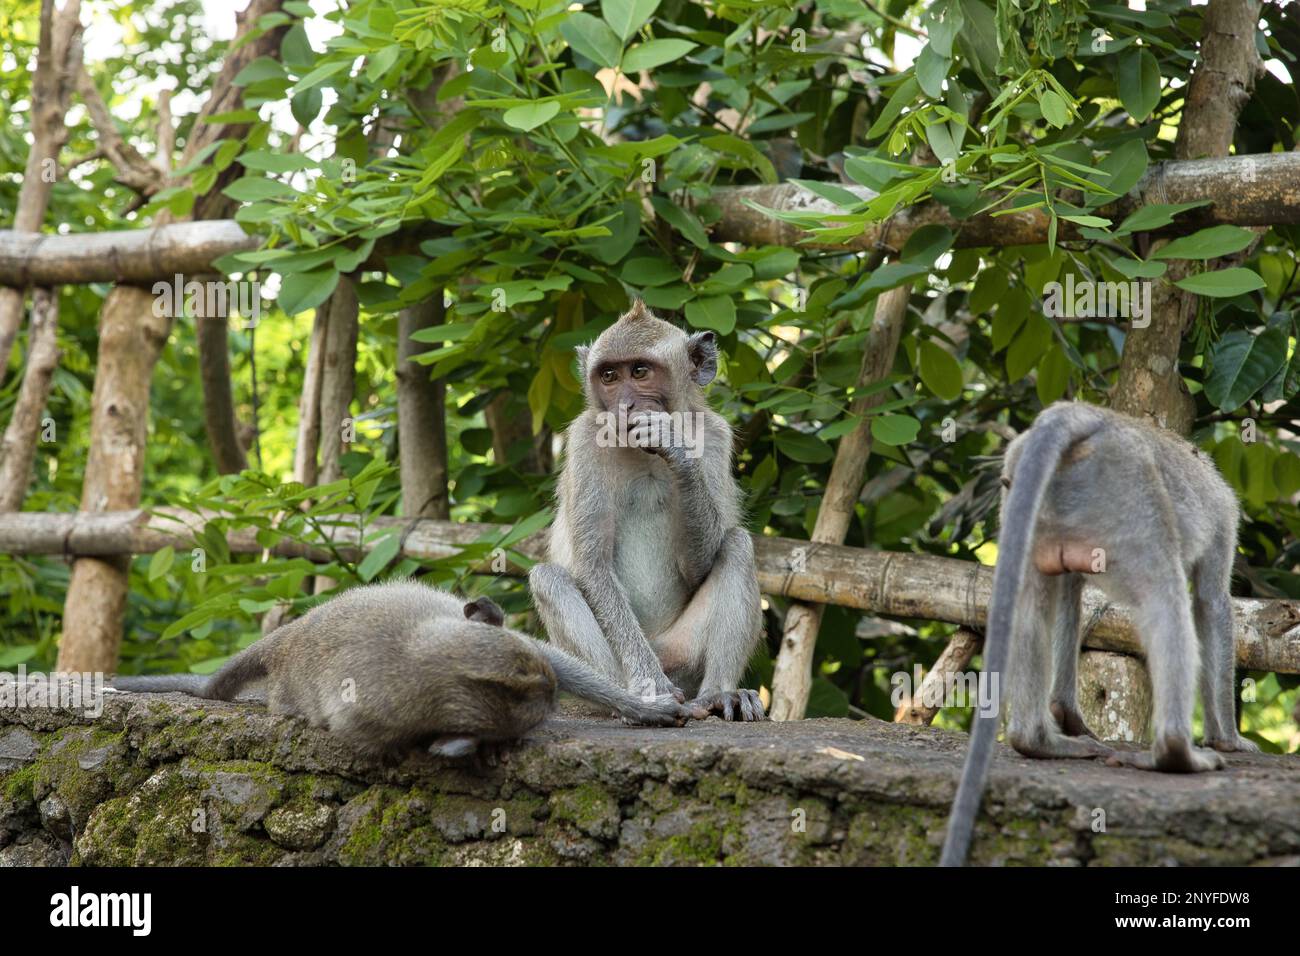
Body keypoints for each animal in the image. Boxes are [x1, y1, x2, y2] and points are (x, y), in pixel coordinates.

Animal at [528, 300, 766, 721]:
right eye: (609, 375)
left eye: (639, 371)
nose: (624, 406)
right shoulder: (584, 441)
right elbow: (593, 565)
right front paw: (648, 686)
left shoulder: (715, 436)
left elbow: (699, 566)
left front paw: (674, 447)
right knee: (549, 579)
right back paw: (632, 700)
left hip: (683, 654)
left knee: (737, 545)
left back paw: (719, 694)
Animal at [940, 401, 1259, 866]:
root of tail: (1080, 413)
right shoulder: (1224, 515)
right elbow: (1211, 603)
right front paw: (1229, 740)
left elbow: (1068, 596)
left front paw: (1067, 713)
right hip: (1127, 489)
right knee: (1164, 593)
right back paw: (1176, 753)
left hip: (1036, 495)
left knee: (1032, 601)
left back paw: (1036, 740)